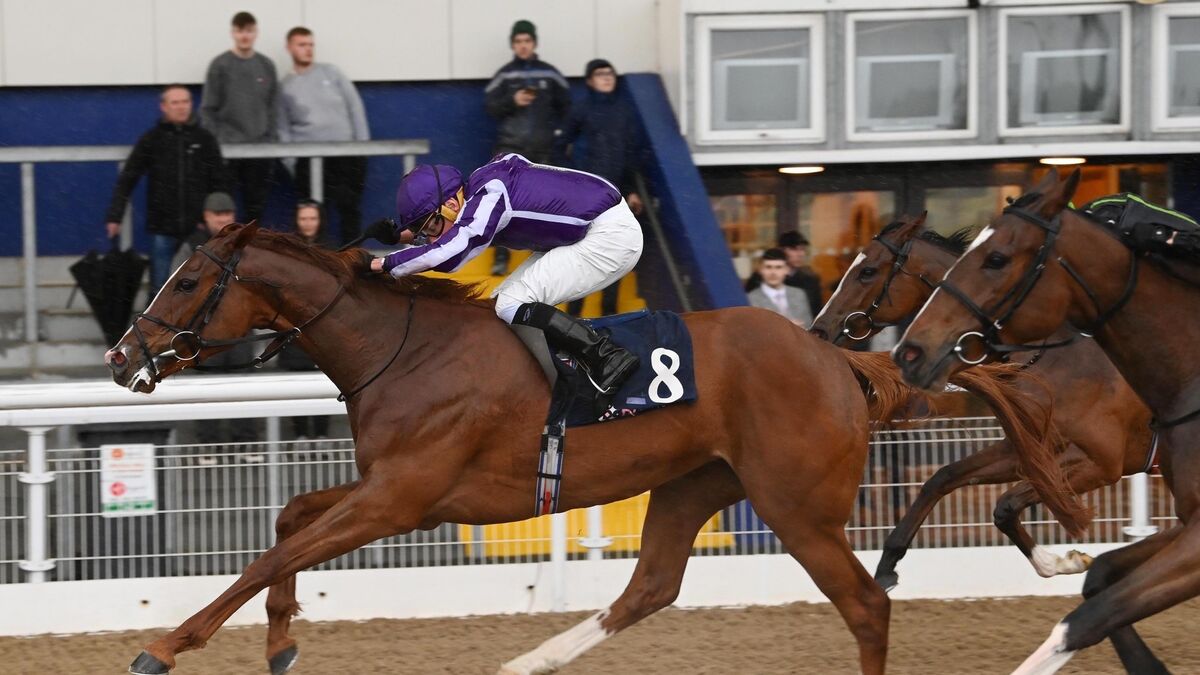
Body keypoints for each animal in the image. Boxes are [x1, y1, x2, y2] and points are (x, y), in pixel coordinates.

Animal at [104, 223, 1060, 675]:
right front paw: (280, 641)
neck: (399, 344)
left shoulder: (402, 497)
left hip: (796, 504)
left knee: (865, 604)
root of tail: (842, 356)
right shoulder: (392, 488)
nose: (119, 357)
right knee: (651, 586)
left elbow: (278, 548)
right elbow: (288, 521)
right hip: (693, 483)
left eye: (190, 281)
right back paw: (529, 659)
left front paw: (165, 644)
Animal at [809, 213, 1153, 590]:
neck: (1061, 361)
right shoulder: (1027, 449)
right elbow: (943, 477)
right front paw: (886, 566)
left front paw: (1063, 561)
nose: (819, 330)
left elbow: (1005, 505)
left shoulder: (1102, 463)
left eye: (867, 270)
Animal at [893, 168, 1199, 674]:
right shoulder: (1032, 448)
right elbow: (957, 481)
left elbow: (1087, 614)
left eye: (996, 258)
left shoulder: (1101, 463)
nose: (910, 352)